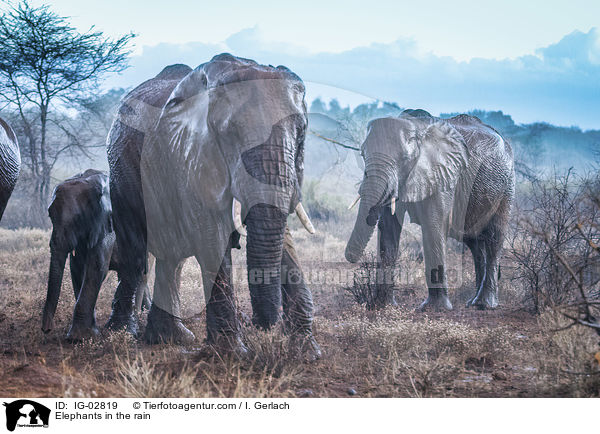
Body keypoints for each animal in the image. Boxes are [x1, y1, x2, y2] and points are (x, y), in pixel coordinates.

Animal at [41, 168, 151, 340]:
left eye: (78, 219)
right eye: (50, 216)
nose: (47, 329)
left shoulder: (108, 224)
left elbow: (96, 266)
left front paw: (79, 338)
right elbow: (77, 268)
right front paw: (86, 334)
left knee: (141, 271)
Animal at [105, 53, 322, 360]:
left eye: (301, 132)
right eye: (229, 134)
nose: (262, 324)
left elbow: (283, 238)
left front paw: (306, 352)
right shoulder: (193, 155)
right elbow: (212, 235)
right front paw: (232, 354)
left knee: (172, 258)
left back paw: (169, 338)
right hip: (121, 168)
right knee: (135, 248)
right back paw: (121, 335)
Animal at [344, 110, 512, 310]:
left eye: (404, 158)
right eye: (362, 154)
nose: (351, 258)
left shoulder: (444, 173)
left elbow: (434, 225)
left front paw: (434, 308)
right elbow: (389, 229)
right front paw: (384, 306)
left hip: (506, 186)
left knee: (494, 237)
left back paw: (485, 304)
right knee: (475, 244)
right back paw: (473, 302)